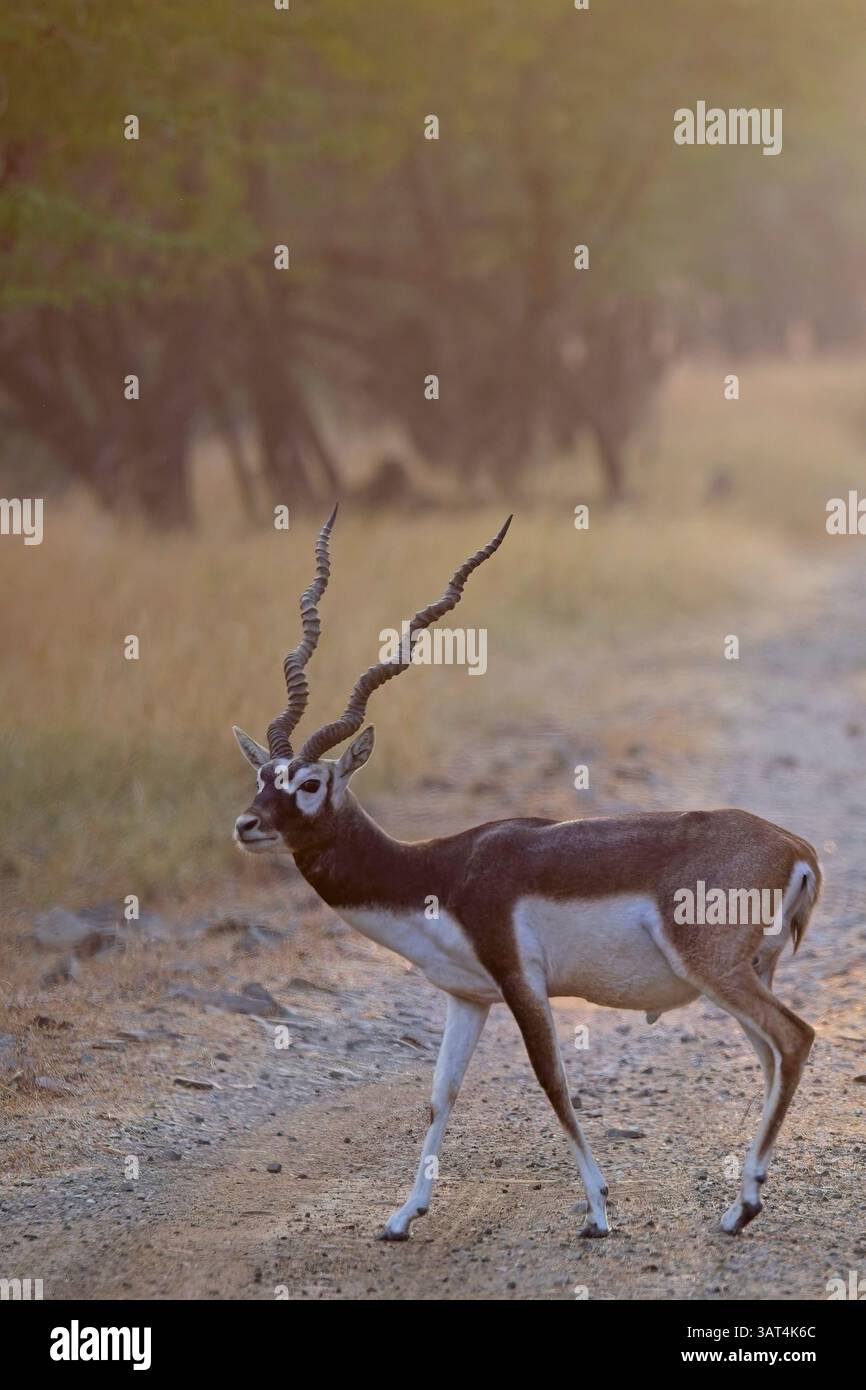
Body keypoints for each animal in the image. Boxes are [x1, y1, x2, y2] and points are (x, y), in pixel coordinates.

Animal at [232, 508, 820, 1241]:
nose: (246, 825)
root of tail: (795, 846)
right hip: (747, 973)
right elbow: (440, 1094)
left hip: (715, 969)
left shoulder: (521, 981)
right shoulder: (468, 997)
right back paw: (744, 1199)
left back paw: (741, 1208)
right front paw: (402, 1216)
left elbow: (554, 1083)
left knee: (795, 1039)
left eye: (310, 783)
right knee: (771, 1056)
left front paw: (598, 1211)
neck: (439, 871)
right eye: (264, 776)